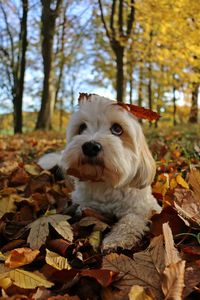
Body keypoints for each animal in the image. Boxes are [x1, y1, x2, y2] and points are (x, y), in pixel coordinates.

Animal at [38, 94, 161, 251]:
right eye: (82, 127)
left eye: (117, 129)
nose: (90, 146)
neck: (104, 181)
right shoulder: (85, 205)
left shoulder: (147, 206)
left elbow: (132, 218)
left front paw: (117, 239)